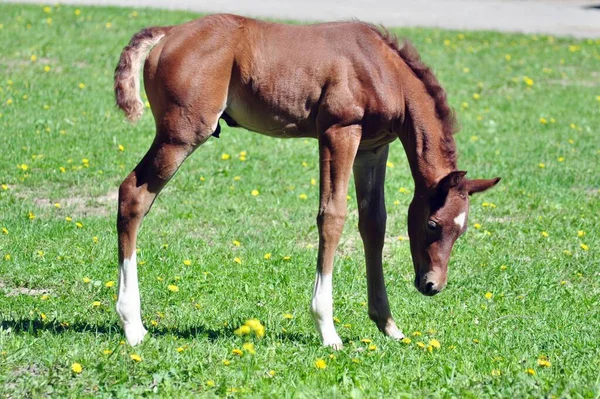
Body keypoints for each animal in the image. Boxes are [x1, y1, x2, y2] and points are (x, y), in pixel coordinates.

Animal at [115, 14, 500, 348]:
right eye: (433, 224)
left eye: (462, 230)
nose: (433, 285)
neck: (384, 70)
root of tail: (170, 32)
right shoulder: (339, 132)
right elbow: (332, 216)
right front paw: (328, 329)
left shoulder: (372, 148)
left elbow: (374, 223)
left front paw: (388, 324)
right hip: (182, 134)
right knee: (132, 194)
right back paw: (132, 325)